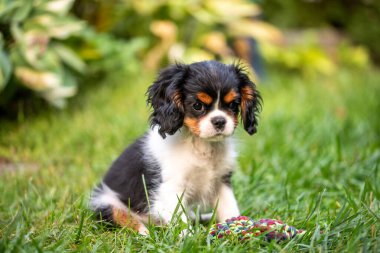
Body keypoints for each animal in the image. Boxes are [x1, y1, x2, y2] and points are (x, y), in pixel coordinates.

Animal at [90, 60, 260, 234]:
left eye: (233, 105)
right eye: (197, 105)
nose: (219, 121)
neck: (200, 144)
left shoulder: (221, 182)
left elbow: (229, 208)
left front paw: (240, 228)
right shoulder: (170, 189)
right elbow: (180, 220)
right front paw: (189, 237)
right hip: (104, 202)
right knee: (125, 218)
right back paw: (145, 232)